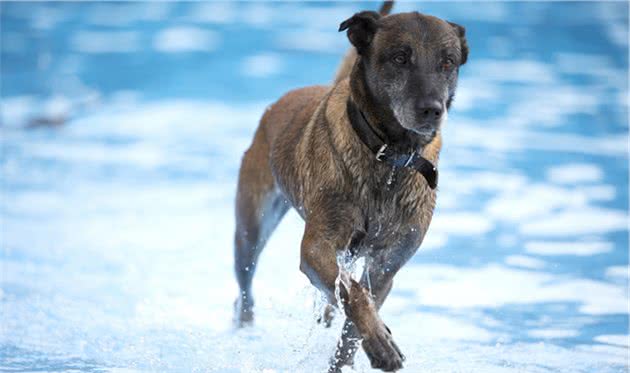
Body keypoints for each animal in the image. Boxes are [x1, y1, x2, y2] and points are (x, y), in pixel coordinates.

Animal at [233, 2, 470, 370]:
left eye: (447, 62)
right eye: (400, 58)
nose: (432, 110)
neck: (389, 158)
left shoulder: (386, 265)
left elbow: (354, 319)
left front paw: (359, 351)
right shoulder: (317, 248)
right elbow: (353, 294)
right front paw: (381, 343)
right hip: (251, 227)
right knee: (245, 286)